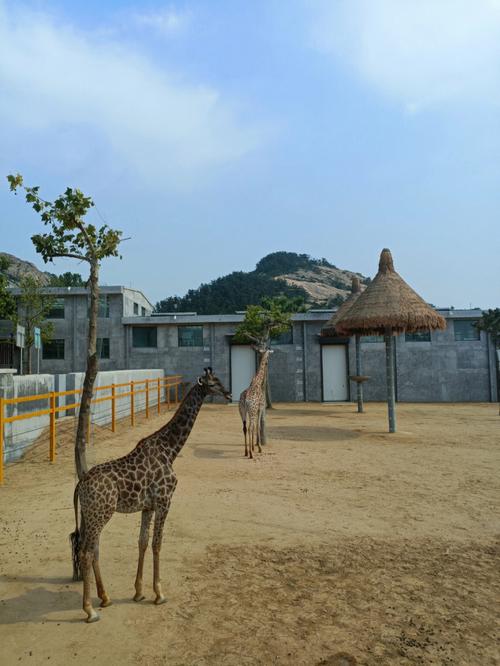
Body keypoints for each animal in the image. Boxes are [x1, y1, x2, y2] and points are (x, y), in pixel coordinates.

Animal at [70, 366, 230, 620]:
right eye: (213, 383)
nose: (229, 393)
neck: (170, 449)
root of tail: (81, 484)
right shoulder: (165, 500)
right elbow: (157, 543)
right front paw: (159, 594)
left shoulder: (147, 506)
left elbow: (142, 542)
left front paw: (138, 592)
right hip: (100, 514)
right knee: (86, 552)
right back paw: (90, 610)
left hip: (89, 515)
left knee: (93, 549)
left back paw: (105, 598)